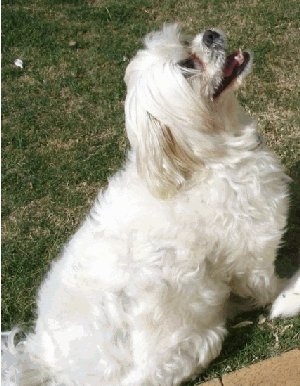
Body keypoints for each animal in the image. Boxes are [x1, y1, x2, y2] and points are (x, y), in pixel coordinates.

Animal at [2, 23, 300, 386]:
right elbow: (267, 285)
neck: (204, 158)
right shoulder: (251, 248)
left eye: (185, 40)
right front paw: (288, 293)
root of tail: (48, 362)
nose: (210, 34)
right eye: (188, 66)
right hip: (186, 338)